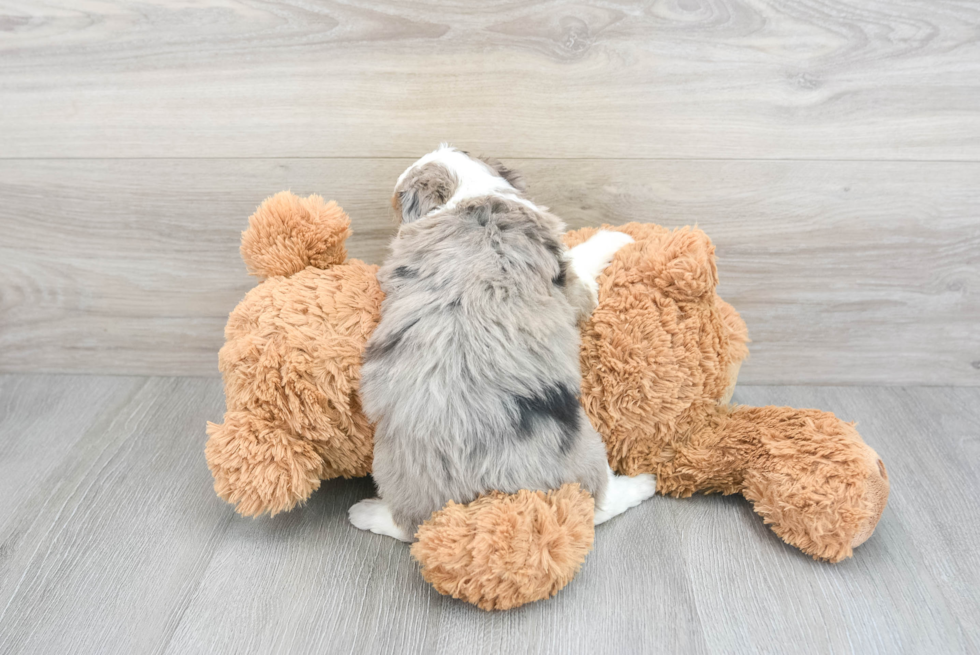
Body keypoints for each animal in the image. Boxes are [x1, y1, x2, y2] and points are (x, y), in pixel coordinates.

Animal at [348, 146, 656, 540]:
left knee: (408, 525)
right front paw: (618, 238)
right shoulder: (574, 284)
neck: (468, 192)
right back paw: (644, 483)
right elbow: (584, 257)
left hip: (395, 470)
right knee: (599, 504)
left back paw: (365, 513)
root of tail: (484, 502)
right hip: (583, 452)